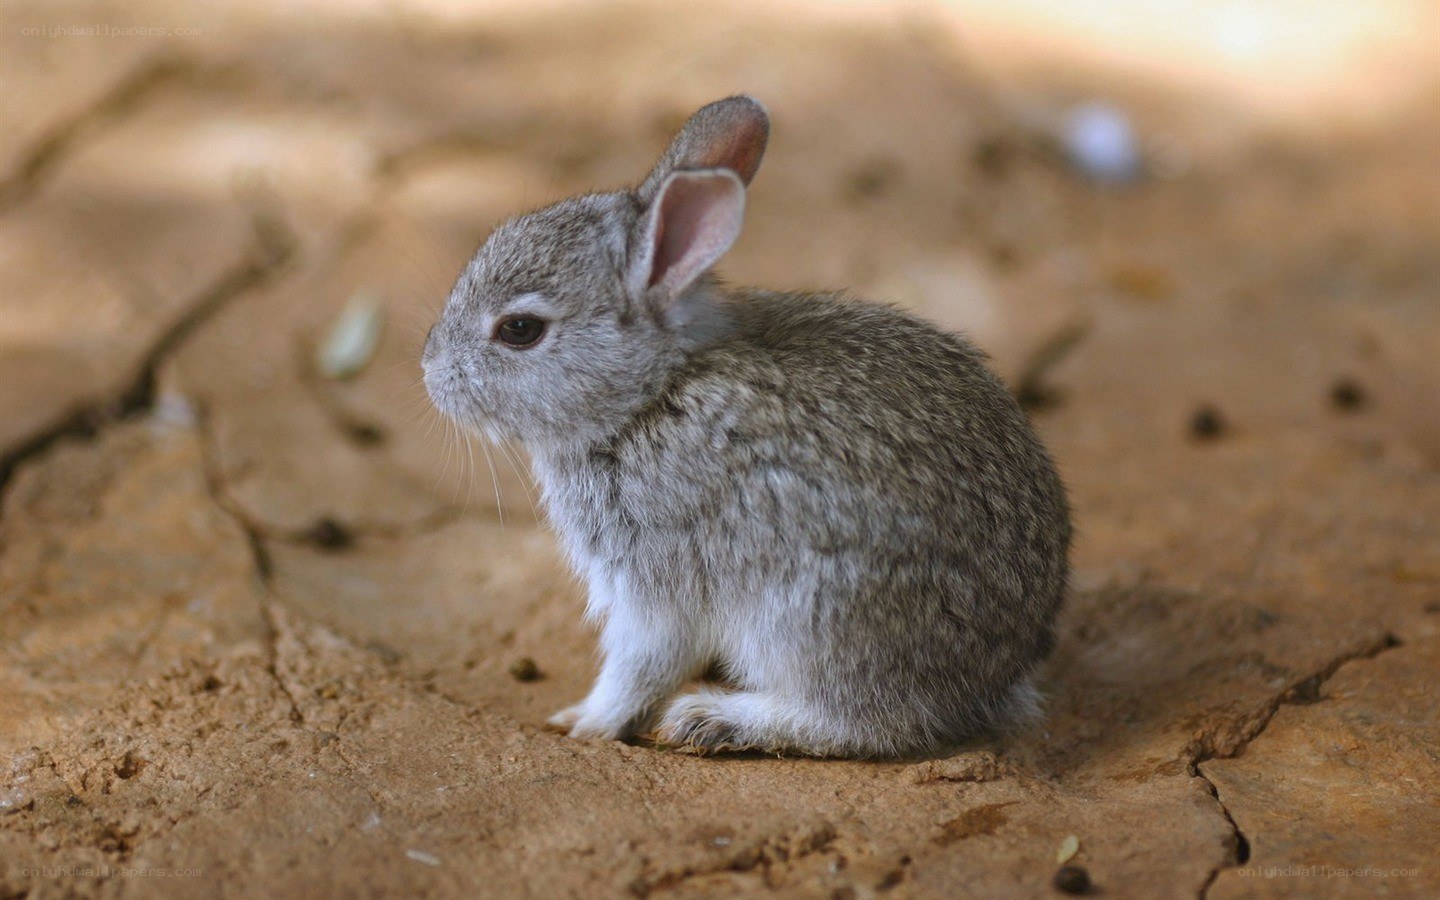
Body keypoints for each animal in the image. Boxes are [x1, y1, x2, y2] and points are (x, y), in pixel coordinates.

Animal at [422, 96, 1071, 758]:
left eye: (519, 330)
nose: (430, 372)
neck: (651, 394)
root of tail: (994, 673)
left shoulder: (657, 578)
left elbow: (640, 664)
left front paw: (586, 723)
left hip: (808, 616)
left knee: (866, 722)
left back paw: (713, 719)